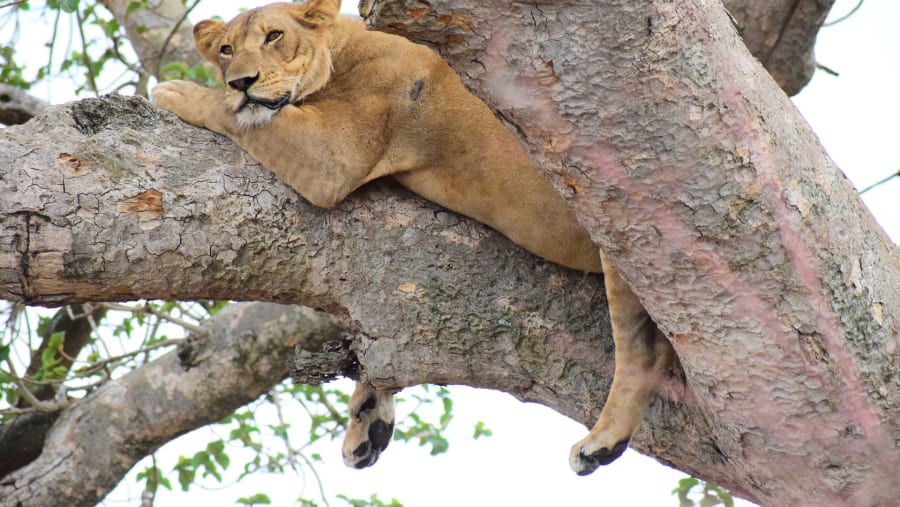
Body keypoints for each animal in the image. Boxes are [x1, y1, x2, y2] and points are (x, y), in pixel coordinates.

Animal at [151, 0, 675, 476]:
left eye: (274, 36)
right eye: (225, 49)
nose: (240, 81)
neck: (341, 51)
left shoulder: (334, 155)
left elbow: (238, 115)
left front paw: (177, 91)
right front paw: (369, 417)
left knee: (644, 354)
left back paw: (600, 443)